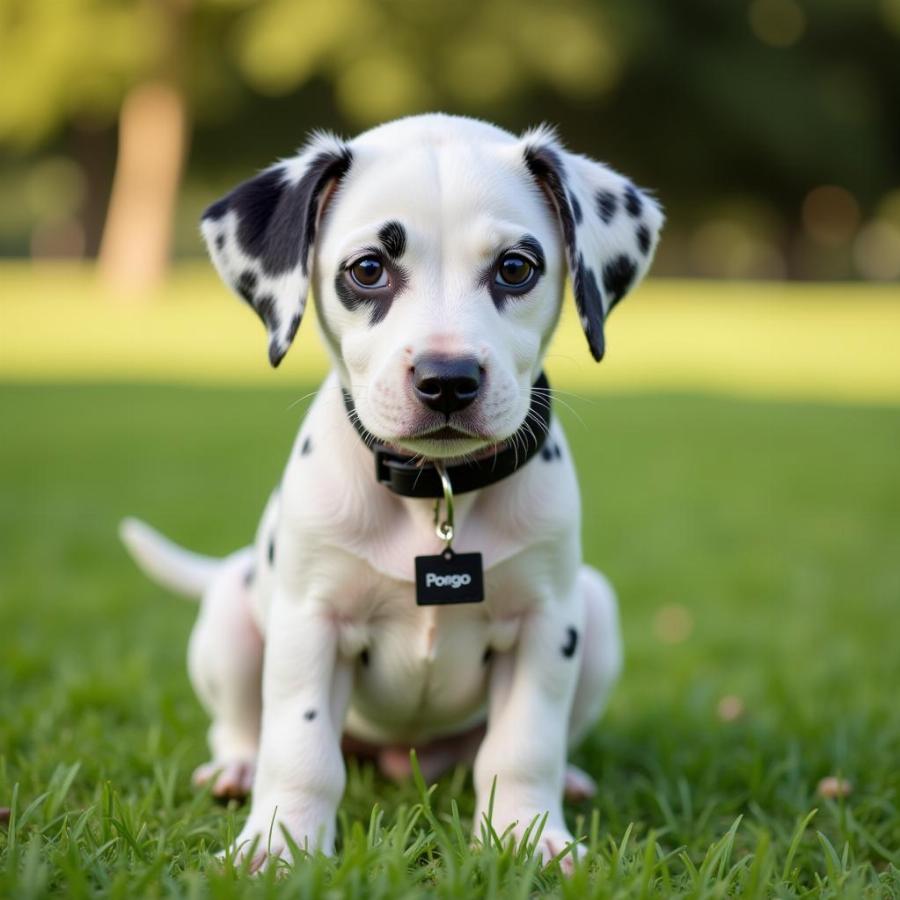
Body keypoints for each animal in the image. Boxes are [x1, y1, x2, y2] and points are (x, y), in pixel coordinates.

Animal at [121, 112, 660, 872]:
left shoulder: (547, 623)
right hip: (230, 620)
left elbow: (523, 747)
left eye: (515, 268)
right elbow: (301, 748)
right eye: (368, 269)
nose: (447, 380)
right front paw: (280, 842)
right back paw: (237, 768)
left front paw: (529, 836)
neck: (435, 493)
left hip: (597, 609)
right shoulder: (310, 621)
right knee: (240, 725)